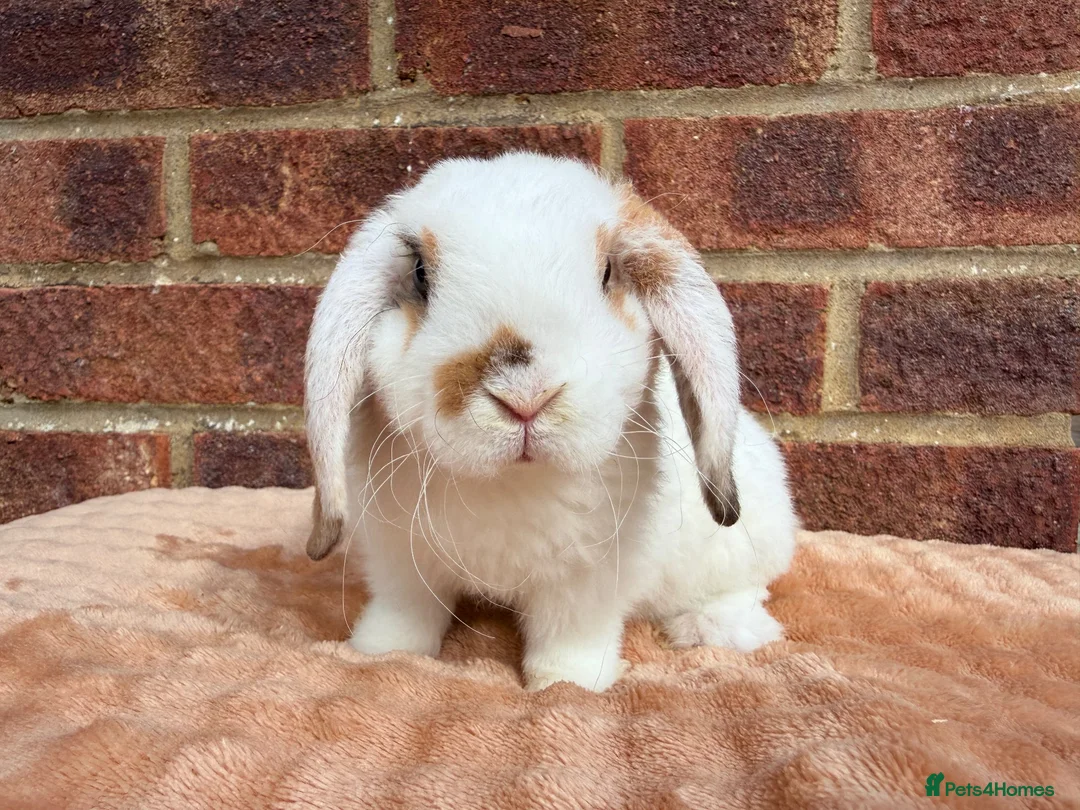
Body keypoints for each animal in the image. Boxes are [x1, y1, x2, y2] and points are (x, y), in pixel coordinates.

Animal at [304, 151, 798, 692]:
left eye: (607, 272)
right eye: (419, 274)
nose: (525, 397)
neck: (511, 484)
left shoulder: (588, 579)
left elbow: (568, 638)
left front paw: (569, 686)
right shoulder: (398, 560)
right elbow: (406, 614)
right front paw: (379, 654)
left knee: (747, 589)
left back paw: (714, 628)